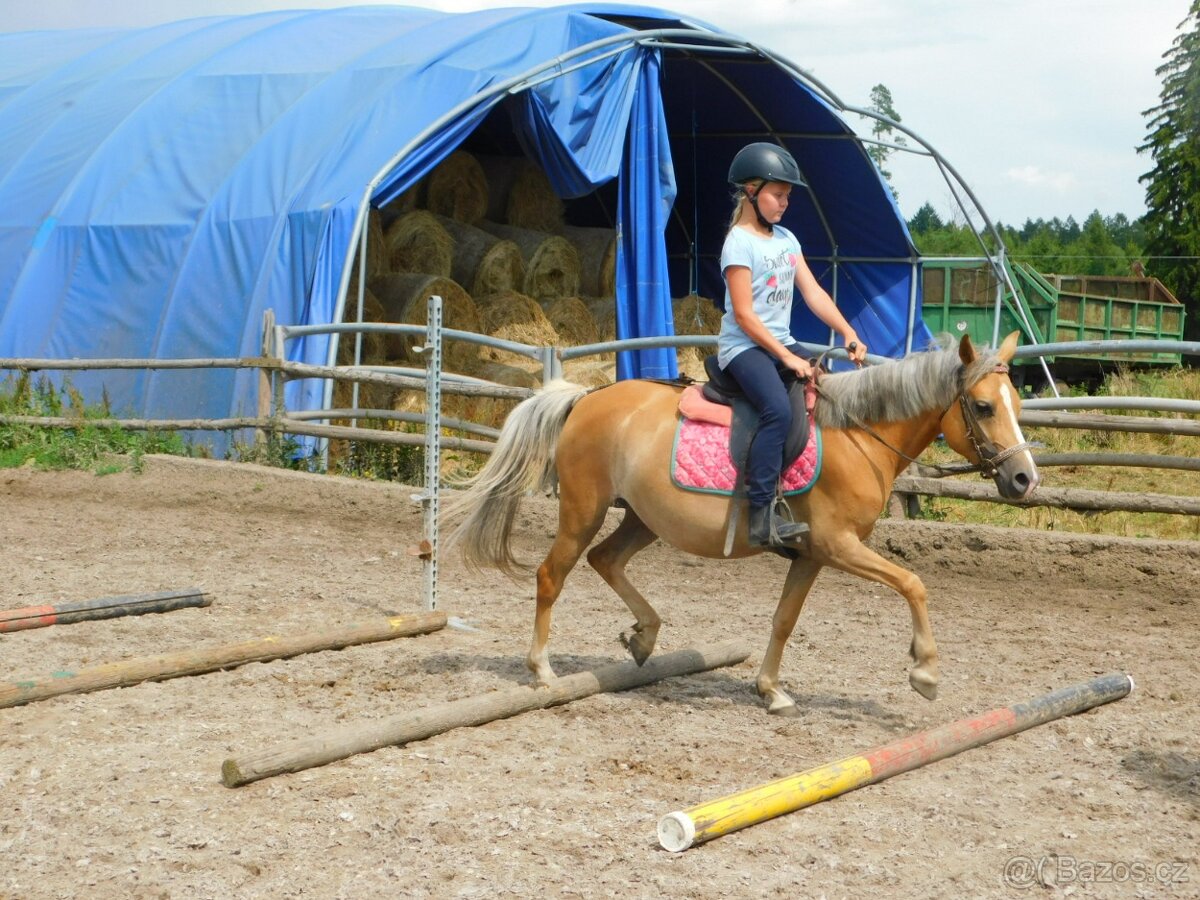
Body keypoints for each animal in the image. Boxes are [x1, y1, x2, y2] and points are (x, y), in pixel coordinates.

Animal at [444, 332, 1039, 715]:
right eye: (984, 407)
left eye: (1016, 403)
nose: (1024, 479)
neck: (857, 435)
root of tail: (586, 397)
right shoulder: (838, 545)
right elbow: (914, 583)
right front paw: (925, 673)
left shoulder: (813, 555)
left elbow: (784, 620)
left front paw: (770, 690)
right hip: (583, 510)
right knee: (553, 575)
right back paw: (543, 671)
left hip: (641, 517)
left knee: (604, 560)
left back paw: (644, 638)